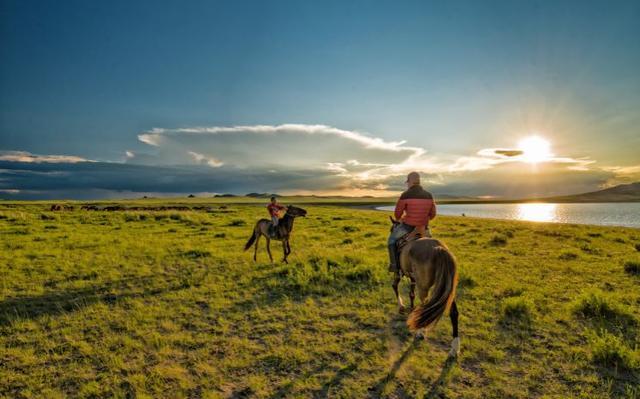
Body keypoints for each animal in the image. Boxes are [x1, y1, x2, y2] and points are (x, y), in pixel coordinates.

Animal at [390, 219, 460, 356]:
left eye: (392, 229)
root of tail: (439, 248)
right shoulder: (412, 277)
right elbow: (411, 294)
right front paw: (411, 309)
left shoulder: (399, 273)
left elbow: (395, 286)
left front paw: (401, 306)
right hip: (449, 289)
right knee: (454, 312)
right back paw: (455, 347)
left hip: (424, 287)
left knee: (425, 307)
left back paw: (420, 332)